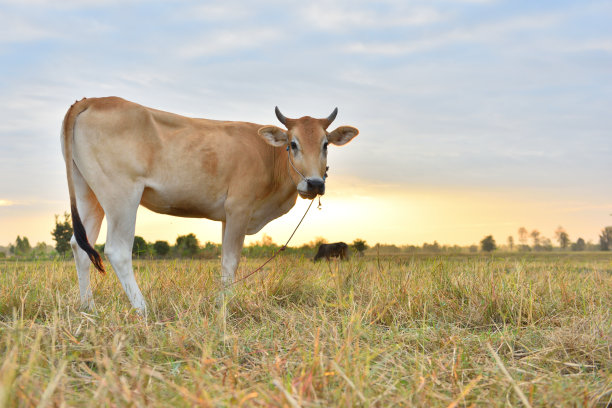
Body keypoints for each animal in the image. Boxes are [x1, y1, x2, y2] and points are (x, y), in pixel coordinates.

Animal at [61, 97, 358, 314]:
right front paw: (225, 306)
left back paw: (88, 308)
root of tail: (94, 100)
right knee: (117, 250)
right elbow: (230, 261)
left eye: (325, 144)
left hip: (89, 195)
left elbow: (224, 261)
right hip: (122, 196)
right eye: (293, 144)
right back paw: (142, 309)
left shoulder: (227, 216)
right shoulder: (239, 208)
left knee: (80, 246)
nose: (315, 183)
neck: (268, 156)